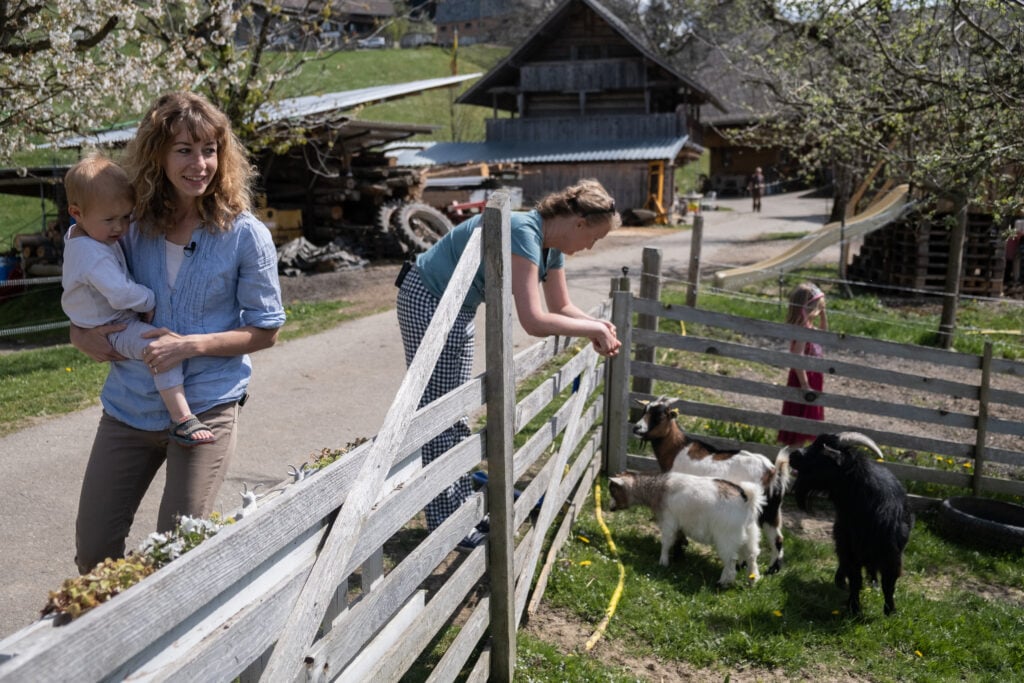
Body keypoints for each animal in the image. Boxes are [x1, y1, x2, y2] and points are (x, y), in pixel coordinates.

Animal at [602, 471, 765, 589]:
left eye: (613, 490)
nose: (610, 508)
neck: (657, 489)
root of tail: (747, 500)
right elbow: (678, 540)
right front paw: (678, 555)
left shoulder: (669, 521)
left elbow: (666, 542)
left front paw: (663, 562)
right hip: (751, 534)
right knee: (752, 556)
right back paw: (752, 581)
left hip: (727, 537)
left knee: (731, 561)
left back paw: (722, 583)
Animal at [630, 397, 790, 573]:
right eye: (644, 411)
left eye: (659, 415)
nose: (636, 428)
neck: (676, 450)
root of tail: (773, 472)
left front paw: (678, 552)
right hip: (772, 510)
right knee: (777, 538)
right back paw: (772, 570)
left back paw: (743, 565)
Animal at [786, 436, 917, 618]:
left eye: (820, 453)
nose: (793, 455)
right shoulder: (850, 548)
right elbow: (855, 580)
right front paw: (854, 609)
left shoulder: (892, 556)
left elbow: (889, 585)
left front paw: (890, 611)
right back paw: (841, 582)